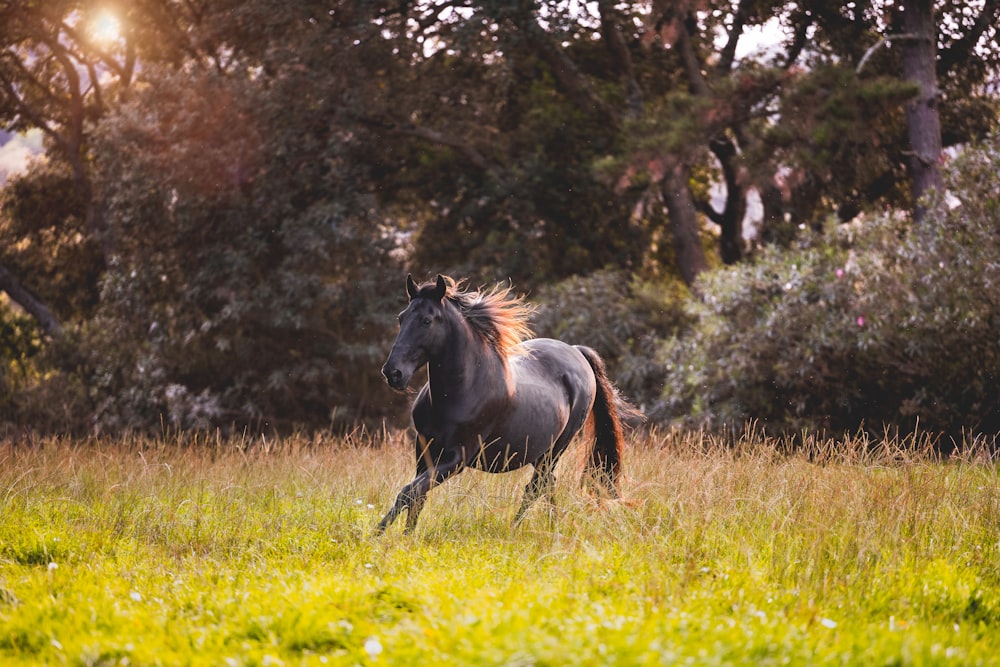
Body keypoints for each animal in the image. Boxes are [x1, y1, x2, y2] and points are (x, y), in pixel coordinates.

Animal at [376, 274, 632, 536]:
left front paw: (377, 535)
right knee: (547, 484)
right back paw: (552, 525)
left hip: (557, 447)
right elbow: (417, 496)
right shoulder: (424, 449)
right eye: (401, 317)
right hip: (541, 451)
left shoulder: (457, 458)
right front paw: (405, 536)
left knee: (537, 486)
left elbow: (408, 492)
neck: (463, 391)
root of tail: (577, 352)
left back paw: (516, 528)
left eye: (426, 321)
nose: (393, 373)